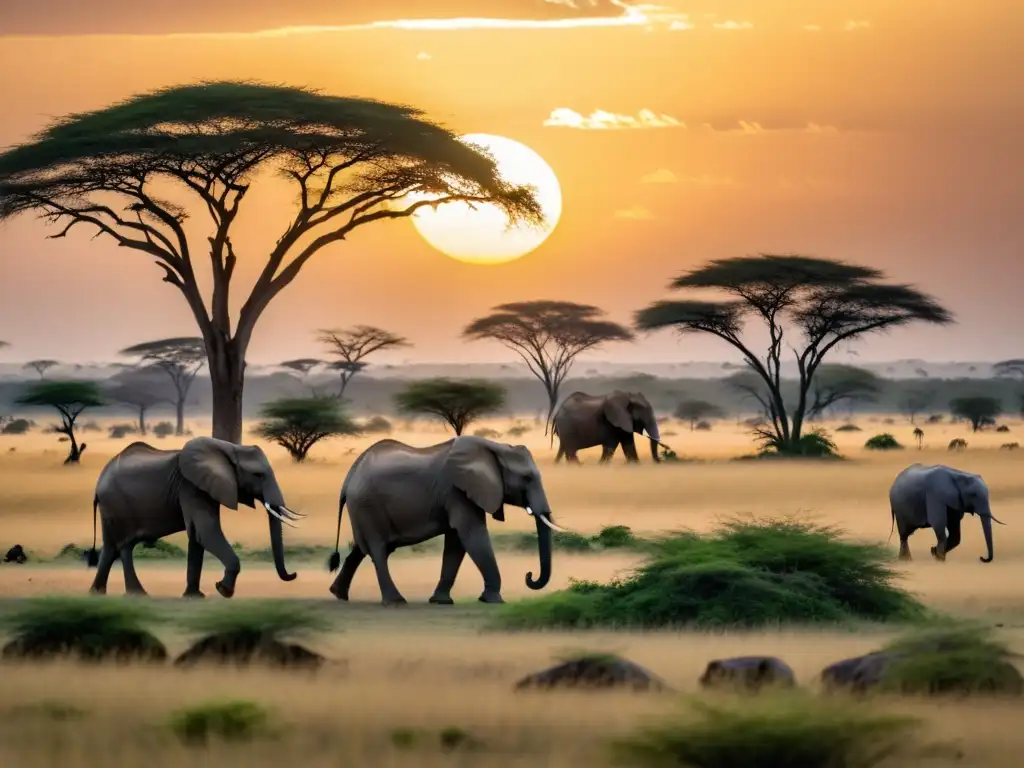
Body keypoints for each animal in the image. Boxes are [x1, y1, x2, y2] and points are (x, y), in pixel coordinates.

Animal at [86, 438, 301, 602]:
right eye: (258, 475)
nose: (294, 574)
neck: (229, 449)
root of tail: (98, 483)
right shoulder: (191, 486)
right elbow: (206, 531)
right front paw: (223, 590)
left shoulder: (206, 487)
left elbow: (198, 535)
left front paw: (194, 596)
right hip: (116, 503)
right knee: (123, 545)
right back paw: (135, 594)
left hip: (111, 507)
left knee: (113, 547)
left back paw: (99, 593)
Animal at [327, 438, 565, 606]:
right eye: (527, 478)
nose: (529, 575)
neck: (495, 448)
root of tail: (348, 478)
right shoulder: (457, 491)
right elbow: (472, 534)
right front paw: (494, 600)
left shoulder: (458, 494)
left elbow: (456, 542)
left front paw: (441, 601)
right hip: (367, 504)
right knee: (378, 550)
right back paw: (396, 602)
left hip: (364, 509)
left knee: (361, 548)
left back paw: (338, 594)